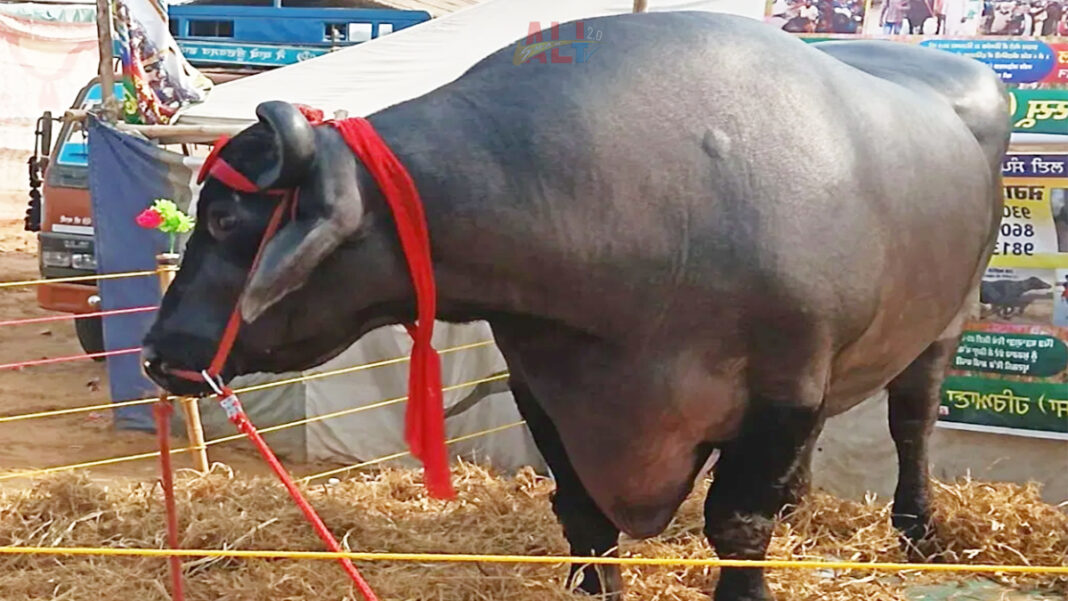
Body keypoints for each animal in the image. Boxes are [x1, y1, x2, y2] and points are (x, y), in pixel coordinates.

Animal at [144, 12, 1008, 601]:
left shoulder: (784, 388)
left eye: (228, 219)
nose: (157, 349)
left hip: (947, 321)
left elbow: (737, 524)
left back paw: (918, 527)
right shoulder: (545, 386)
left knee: (911, 422)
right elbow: (585, 519)